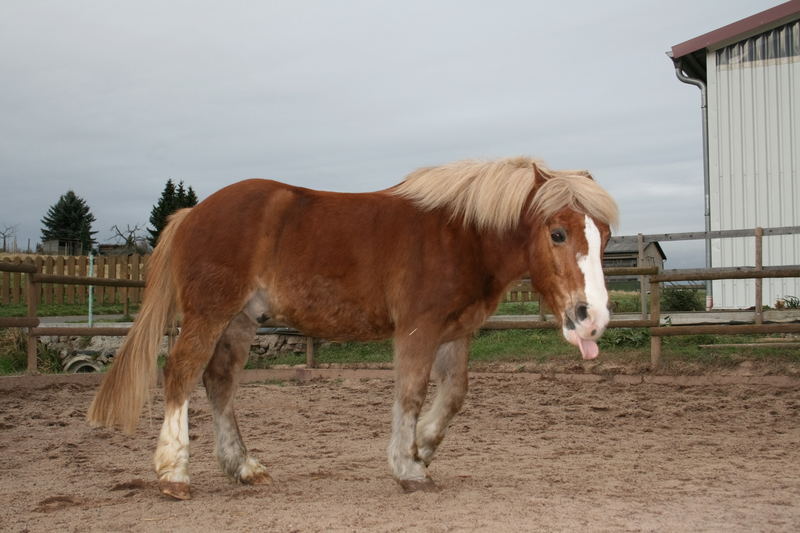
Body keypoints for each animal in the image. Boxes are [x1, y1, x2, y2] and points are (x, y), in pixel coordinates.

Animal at [90, 156, 620, 496]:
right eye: (558, 233)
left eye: (605, 234)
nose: (592, 319)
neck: (459, 234)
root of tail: (192, 213)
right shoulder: (418, 330)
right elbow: (410, 393)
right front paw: (407, 467)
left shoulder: (456, 333)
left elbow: (453, 395)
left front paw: (423, 449)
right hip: (209, 314)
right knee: (180, 374)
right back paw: (174, 474)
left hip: (240, 322)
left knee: (219, 382)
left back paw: (244, 468)